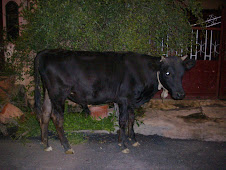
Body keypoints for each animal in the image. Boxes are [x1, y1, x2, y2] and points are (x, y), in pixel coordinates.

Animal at [34, 49, 196, 154]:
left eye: (182, 73)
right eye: (167, 73)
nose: (180, 94)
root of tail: (47, 52)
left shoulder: (131, 100)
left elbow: (131, 118)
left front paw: (132, 139)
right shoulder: (124, 98)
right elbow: (123, 120)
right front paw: (123, 144)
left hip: (48, 93)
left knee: (45, 114)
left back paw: (46, 144)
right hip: (59, 94)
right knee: (57, 118)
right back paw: (67, 147)